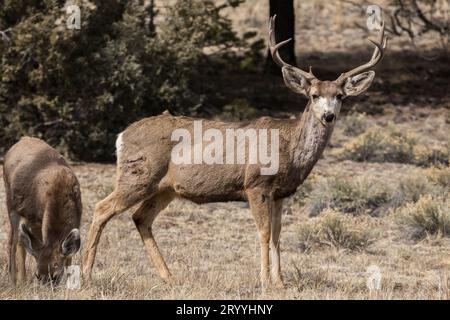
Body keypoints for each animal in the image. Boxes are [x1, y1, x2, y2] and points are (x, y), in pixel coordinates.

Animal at [3, 136, 82, 284]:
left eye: (56, 276)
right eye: (37, 275)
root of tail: (22, 139)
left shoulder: (78, 219)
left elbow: (69, 257)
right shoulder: (35, 217)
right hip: (13, 206)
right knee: (14, 241)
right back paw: (15, 281)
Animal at [81, 16, 386, 286]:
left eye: (340, 96)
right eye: (314, 96)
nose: (328, 116)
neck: (289, 147)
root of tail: (121, 135)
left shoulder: (280, 193)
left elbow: (278, 236)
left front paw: (281, 282)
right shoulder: (256, 184)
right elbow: (264, 233)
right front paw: (264, 281)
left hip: (164, 188)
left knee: (140, 218)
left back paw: (169, 277)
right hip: (138, 174)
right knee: (101, 208)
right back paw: (85, 274)